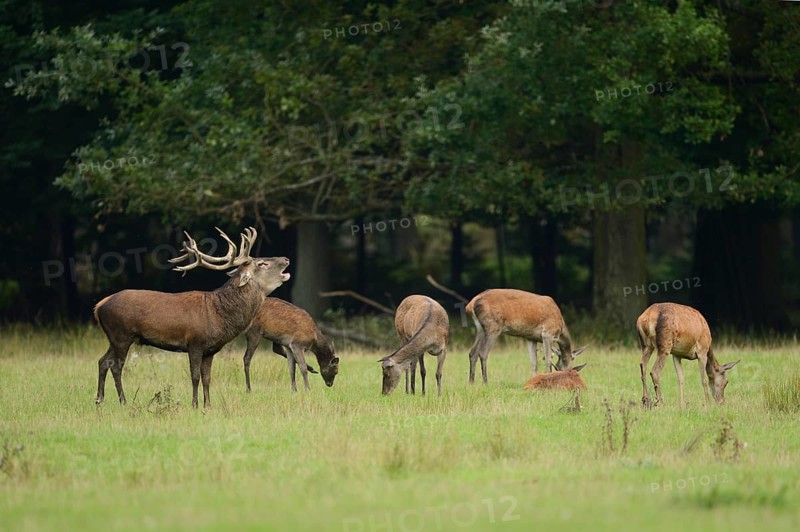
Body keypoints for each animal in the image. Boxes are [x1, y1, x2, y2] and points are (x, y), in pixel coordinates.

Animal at [93, 227, 290, 409]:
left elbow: (207, 378)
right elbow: (195, 377)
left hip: (115, 338)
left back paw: (99, 400)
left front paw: (208, 405)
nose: (286, 259)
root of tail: (99, 306)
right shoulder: (195, 342)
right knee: (116, 367)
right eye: (262, 263)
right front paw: (194, 405)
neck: (219, 315)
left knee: (103, 361)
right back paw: (123, 401)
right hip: (121, 335)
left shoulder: (210, 350)